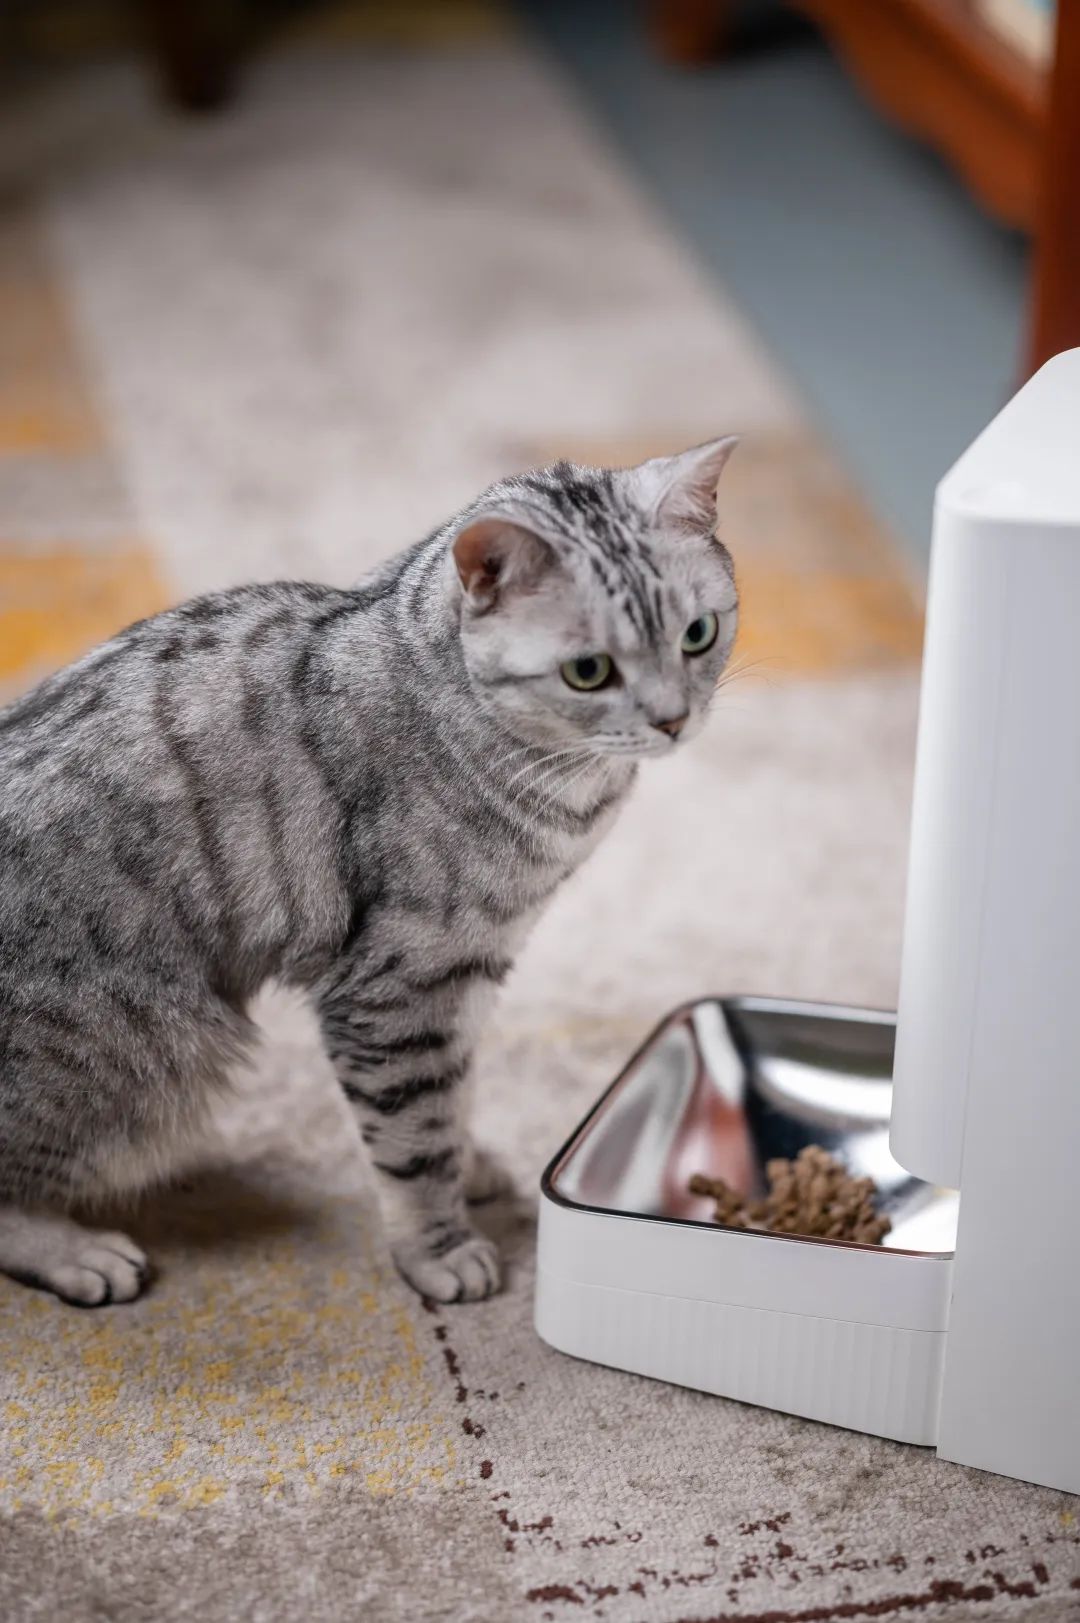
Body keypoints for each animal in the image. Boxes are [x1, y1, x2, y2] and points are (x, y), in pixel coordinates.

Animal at [0, 441, 734, 1304]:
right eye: (589, 671)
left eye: (698, 633)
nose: (673, 719)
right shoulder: (399, 980)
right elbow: (415, 1133)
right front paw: (442, 1246)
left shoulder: (472, 966)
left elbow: (455, 1089)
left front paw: (469, 1163)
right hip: (160, 1053)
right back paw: (78, 1252)